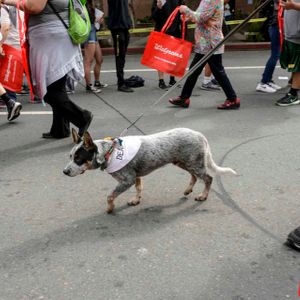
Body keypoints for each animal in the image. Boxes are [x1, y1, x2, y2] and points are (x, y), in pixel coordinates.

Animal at [63, 127, 237, 214]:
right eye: (70, 156)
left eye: (78, 158)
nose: (64, 172)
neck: (110, 152)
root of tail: (200, 134)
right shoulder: (135, 177)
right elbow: (139, 188)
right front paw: (136, 200)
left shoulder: (127, 180)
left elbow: (109, 196)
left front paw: (110, 209)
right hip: (184, 162)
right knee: (194, 176)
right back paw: (188, 189)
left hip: (195, 163)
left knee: (208, 178)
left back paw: (203, 195)